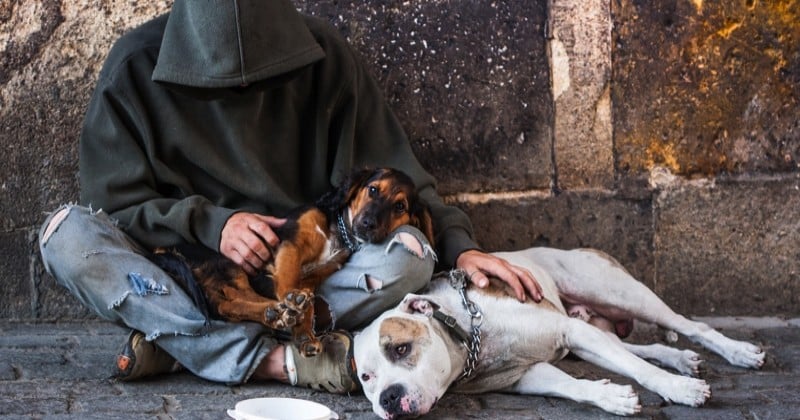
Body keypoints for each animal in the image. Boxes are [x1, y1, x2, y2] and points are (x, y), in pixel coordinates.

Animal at [153, 167, 434, 354]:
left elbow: (306, 302)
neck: (339, 232)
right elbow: (288, 279)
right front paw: (294, 303)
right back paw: (279, 311)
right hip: (229, 263)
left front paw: (304, 333)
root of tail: (163, 251)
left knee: (231, 304)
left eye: (399, 206)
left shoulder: (316, 275)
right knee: (231, 301)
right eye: (373, 190)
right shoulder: (290, 245)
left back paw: (276, 314)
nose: (368, 224)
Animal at [354, 248, 764, 418]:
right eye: (367, 378)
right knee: (638, 348)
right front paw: (611, 396)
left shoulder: (568, 330)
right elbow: (570, 385)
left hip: (621, 294)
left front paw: (679, 390)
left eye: (401, 349)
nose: (388, 398)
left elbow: (641, 371)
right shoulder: (525, 374)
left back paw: (738, 352)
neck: (469, 337)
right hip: (592, 329)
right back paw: (679, 358)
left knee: (689, 325)